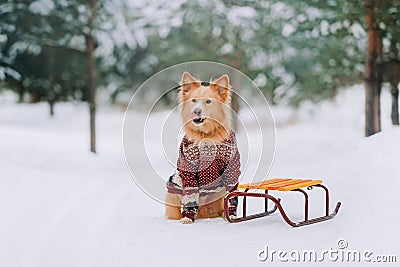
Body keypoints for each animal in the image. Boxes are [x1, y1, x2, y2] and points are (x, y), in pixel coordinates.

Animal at [165, 72, 241, 225]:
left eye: (208, 101)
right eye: (194, 100)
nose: (197, 111)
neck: (206, 135)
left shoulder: (231, 169)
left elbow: (231, 195)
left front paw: (232, 216)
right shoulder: (188, 170)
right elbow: (190, 196)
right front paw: (187, 218)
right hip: (174, 187)